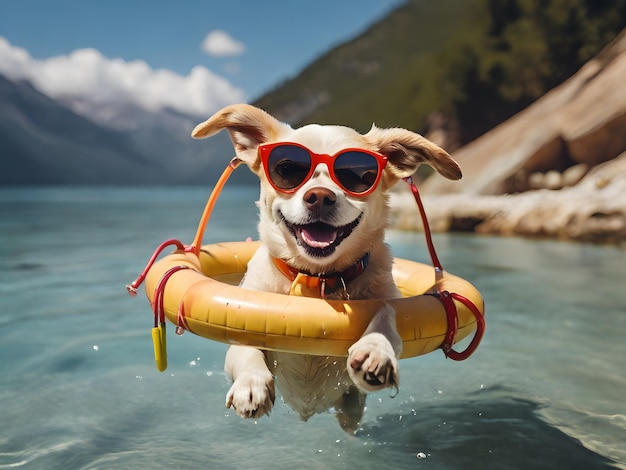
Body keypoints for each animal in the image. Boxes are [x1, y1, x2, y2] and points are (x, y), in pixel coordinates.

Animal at [190, 104, 458, 432]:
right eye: (287, 169)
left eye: (358, 174)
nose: (319, 196)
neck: (315, 278)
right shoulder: (244, 323)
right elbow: (244, 348)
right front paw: (251, 383)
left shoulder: (392, 301)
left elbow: (386, 314)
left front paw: (376, 350)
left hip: (351, 412)